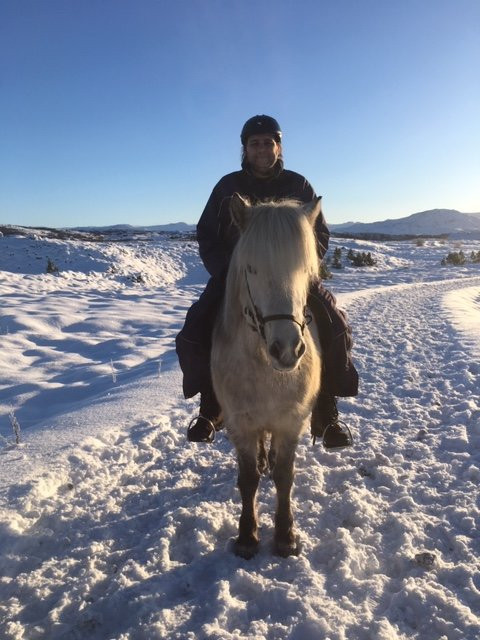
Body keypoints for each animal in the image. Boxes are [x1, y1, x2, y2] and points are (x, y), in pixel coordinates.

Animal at [211, 193, 323, 558]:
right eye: (251, 268)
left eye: (304, 269)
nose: (286, 349)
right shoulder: (242, 424)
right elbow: (248, 480)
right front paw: (247, 536)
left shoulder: (290, 422)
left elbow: (285, 477)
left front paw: (286, 536)